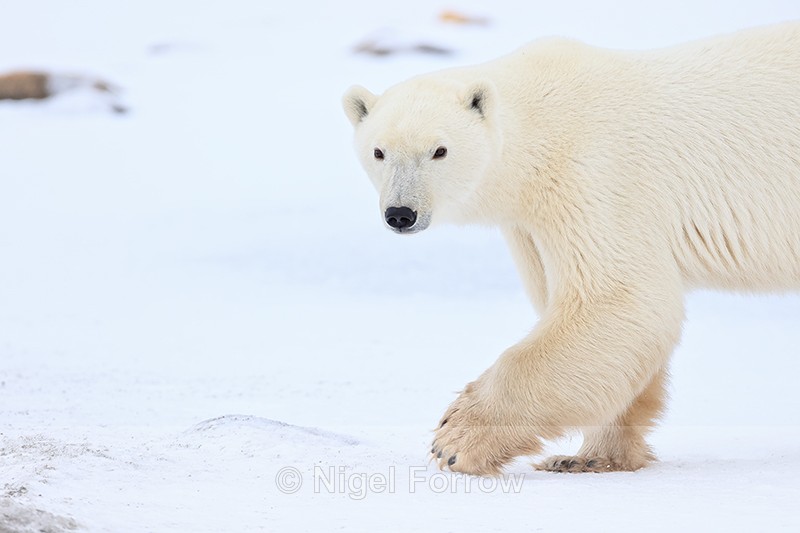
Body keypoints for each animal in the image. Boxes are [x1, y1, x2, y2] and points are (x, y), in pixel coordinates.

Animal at [342, 21, 800, 476]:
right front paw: (588, 456)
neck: (538, 124)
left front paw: (455, 439)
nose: (401, 213)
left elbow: (615, 299)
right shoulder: (529, 223)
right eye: (379, 152)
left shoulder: (593, 175)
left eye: (440, 150)